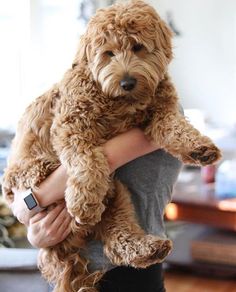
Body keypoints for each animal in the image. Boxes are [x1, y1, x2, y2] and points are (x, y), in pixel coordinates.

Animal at [1, 1, 221, 290]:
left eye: (138, 47)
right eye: (108, 53)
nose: (127, 82)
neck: (119, 101)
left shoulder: (162, 111)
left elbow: (175, 126)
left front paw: (200, 147)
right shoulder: (71, 126)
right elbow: (86, 158)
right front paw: (83, 202)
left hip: (117, 194)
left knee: (118, 238)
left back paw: (149, 249)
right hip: (42, 175)